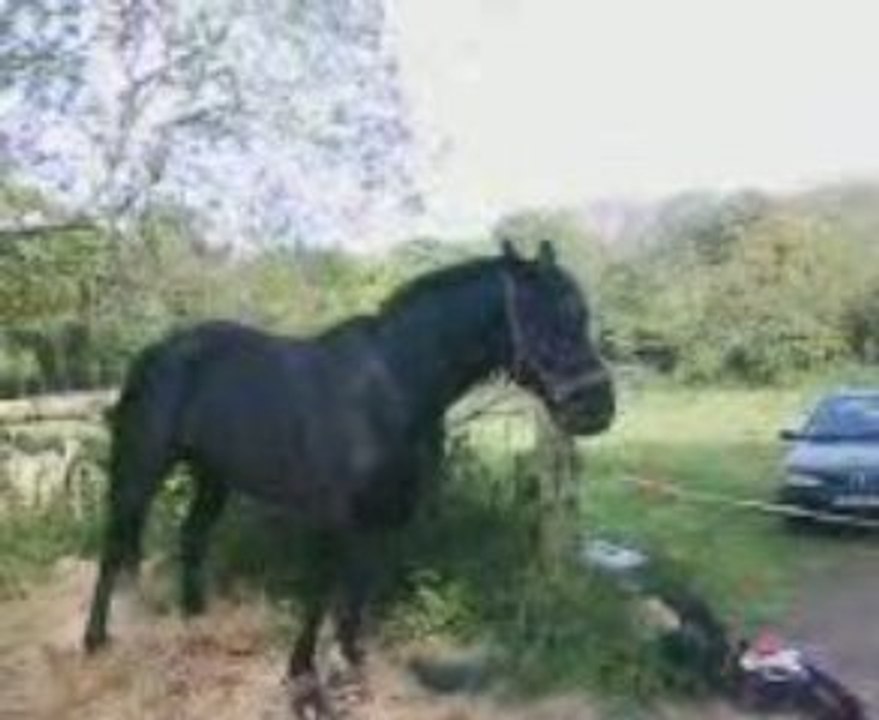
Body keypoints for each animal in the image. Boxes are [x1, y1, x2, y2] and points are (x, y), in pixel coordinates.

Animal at [83, 239, 615, 715]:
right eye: (540, 317)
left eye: (582, 315)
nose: (597, 407)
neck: (390, 385)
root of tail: (156, 351)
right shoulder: (333, 517)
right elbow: (321, 592)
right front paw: (303, 680)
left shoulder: (382, 517)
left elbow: (357, 596)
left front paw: (352, 676)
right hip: (139, 467)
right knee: (113, 546)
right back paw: (95, 641)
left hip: (213, 476)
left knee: (192, 536)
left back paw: (197, 624)